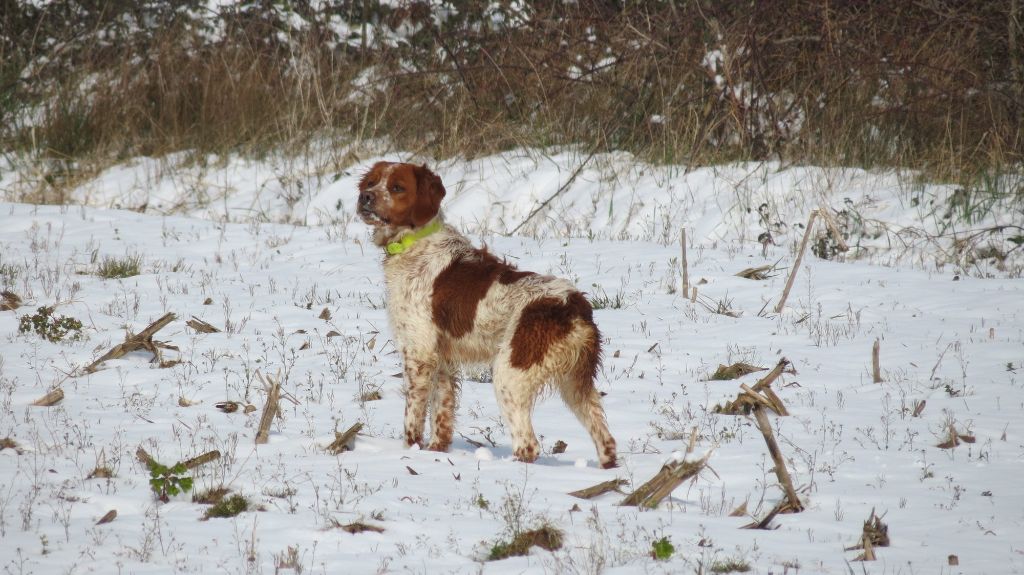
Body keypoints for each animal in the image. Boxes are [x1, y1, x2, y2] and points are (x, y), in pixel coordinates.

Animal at [356, 159, 618, 466]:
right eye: (371, 182)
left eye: (397, 187)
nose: (365, 197)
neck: (415, 242)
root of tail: (573, 305)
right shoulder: (442, 360)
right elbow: (442, 417)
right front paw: (436, 453)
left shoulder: (418, 353)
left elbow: (413, 417)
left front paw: (411, 452)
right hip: (576, 384)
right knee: (606, 439)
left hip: (510, 373)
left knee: (528, 445)